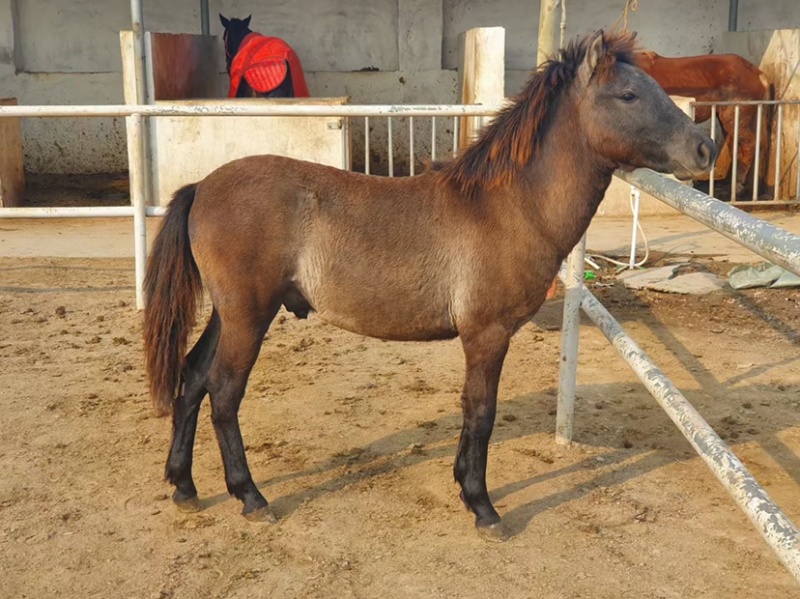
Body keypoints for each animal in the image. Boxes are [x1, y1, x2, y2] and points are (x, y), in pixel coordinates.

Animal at [143, 30, 714, 541]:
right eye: (628, 94)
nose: (707, 147)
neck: (509, 207)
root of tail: (202, 186)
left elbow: (470, 409)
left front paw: (464, 485)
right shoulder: (487, 334)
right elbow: (482, 413)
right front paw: (483, 506)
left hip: (230, 314)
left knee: (193, 377)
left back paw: (184, 487)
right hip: (248, 316)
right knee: (224, 393)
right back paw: (250, 497)